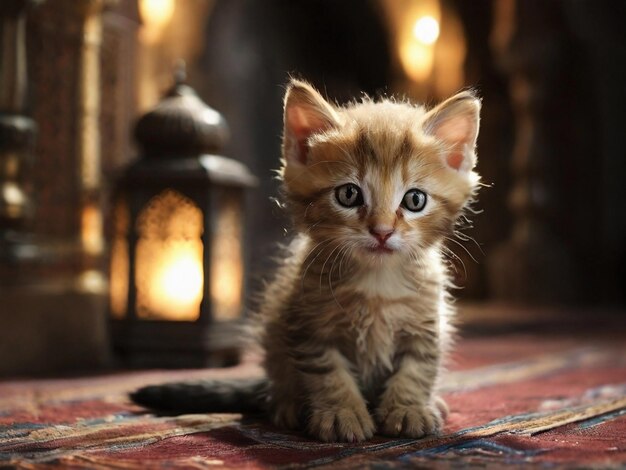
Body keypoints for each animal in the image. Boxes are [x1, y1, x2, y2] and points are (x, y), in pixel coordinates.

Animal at [132, 79, 480, 442]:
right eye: (349, 194)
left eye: (414, 200)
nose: (382, 231)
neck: (377, 281)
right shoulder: (310, 325)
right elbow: (328, 373)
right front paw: (342, 412)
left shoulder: (426, 325)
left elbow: (418, 368)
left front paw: (408, 407)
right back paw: (287, 405)